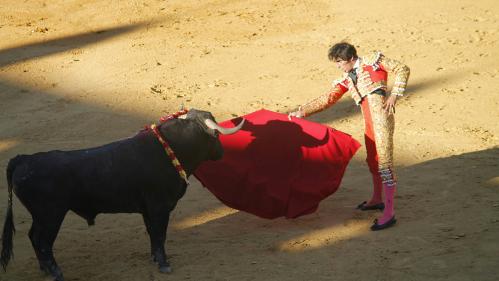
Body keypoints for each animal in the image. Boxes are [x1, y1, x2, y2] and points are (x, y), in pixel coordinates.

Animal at [0, 109, 242, 280]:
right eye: (216, 135)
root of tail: (23, 159)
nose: (221, 153)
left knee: (33, 236)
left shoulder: (148, 209)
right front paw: (164, 264)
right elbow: (160, 234)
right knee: (42, 241)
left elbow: (153, 234)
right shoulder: (160, 207)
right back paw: (56, 272)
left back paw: (44, 269)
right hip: (51, 215)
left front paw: (155, 258)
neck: (170, 148)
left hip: (41, 216)